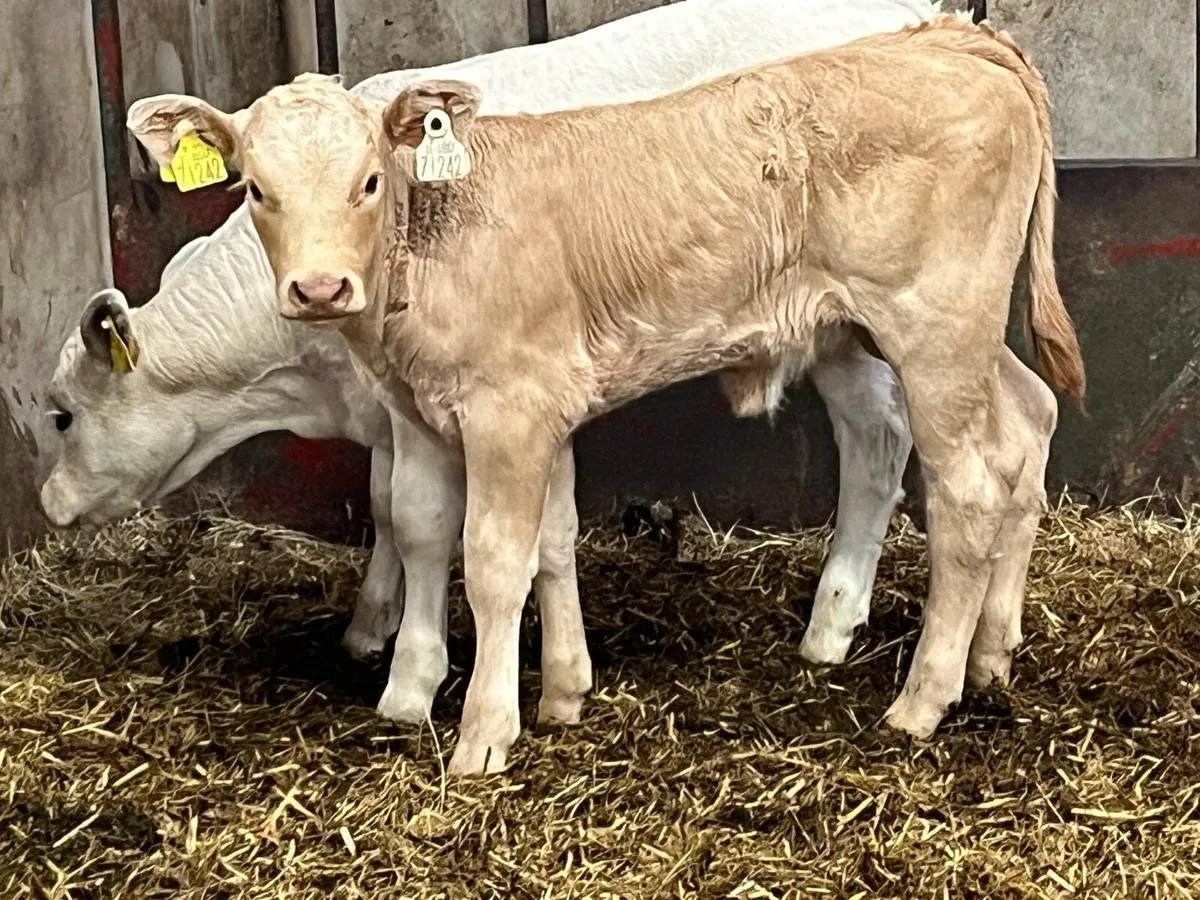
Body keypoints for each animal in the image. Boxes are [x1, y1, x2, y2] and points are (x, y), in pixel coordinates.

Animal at [126, 12, 1084, 775]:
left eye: (368, 180)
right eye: (256, 188)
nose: (320, 290)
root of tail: (949, 37)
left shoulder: (508, 410)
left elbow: (495, 560)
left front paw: (485, 732)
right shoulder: (453, 411)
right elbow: (479, 533)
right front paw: (478, 693)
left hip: (935, 329)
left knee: (966, 487)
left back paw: (923, 697)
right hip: (951, 335)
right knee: (1027, 424)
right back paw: (992, 655)